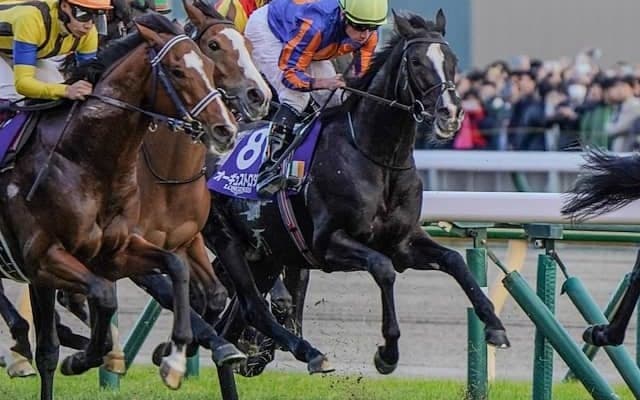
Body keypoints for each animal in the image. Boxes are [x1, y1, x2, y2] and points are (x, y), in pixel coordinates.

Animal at [0, 12, 237, 399]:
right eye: (176, 71)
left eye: (207, 65)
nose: (225, 129)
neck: (83, 159)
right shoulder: (43, 258)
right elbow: (99, 301)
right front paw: (83, 359)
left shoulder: (113, 253)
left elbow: (176, 268)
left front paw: (174, 360)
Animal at [202, 10, 511, 376]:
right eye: (417, 62)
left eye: (453, 61)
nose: (450, 114)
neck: (379, 157)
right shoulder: (329, 243)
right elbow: (383, 269)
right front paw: (387, 353)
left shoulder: (403, 242)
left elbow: (455, 261)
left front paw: (495, 326)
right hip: (229, 241)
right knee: (251, 307)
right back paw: (305, 353)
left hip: (265, 254)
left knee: (239, 317)